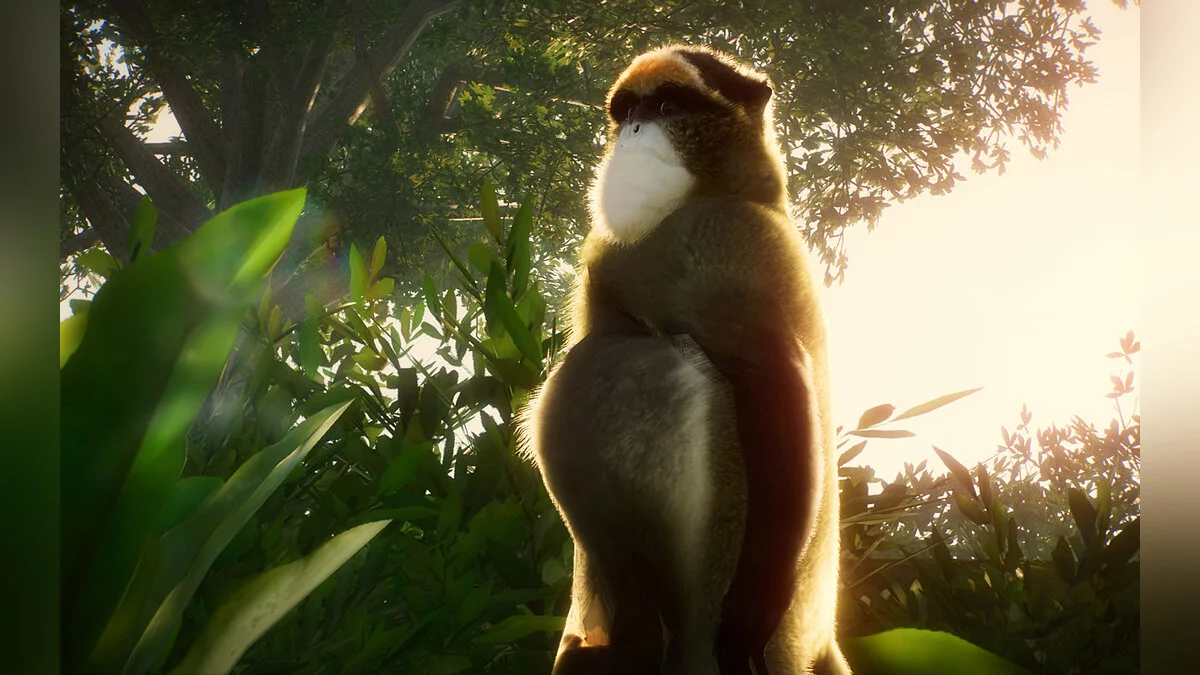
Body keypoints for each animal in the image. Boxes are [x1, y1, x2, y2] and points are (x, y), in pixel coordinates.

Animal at [519, 45, 850, 675]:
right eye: (628, 111)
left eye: (669, 107)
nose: (635, 131)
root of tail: (816, 642)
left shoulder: (725, 242)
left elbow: (773, 376)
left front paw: (749, 618)